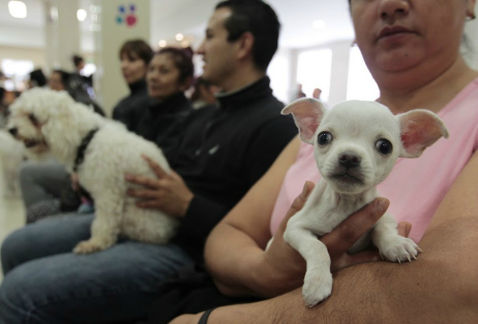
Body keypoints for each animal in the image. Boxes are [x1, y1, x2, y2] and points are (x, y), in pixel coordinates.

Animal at [7, 88, 179, 253]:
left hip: (134, 216)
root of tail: (169, 232)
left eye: (32, 117)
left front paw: (95, 243)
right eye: (16, 114)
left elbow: (104, 222)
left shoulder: (108, 194)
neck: (87, 141)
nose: (11, 130)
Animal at [280, 98, 448, 306]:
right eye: (323, 137)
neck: (346, 202)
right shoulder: (295, 227)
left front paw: (395, 244)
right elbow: (317, 247)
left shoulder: (386, 215)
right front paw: (317, 282)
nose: (349, 156)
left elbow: (382, 229)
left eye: (385, 146)